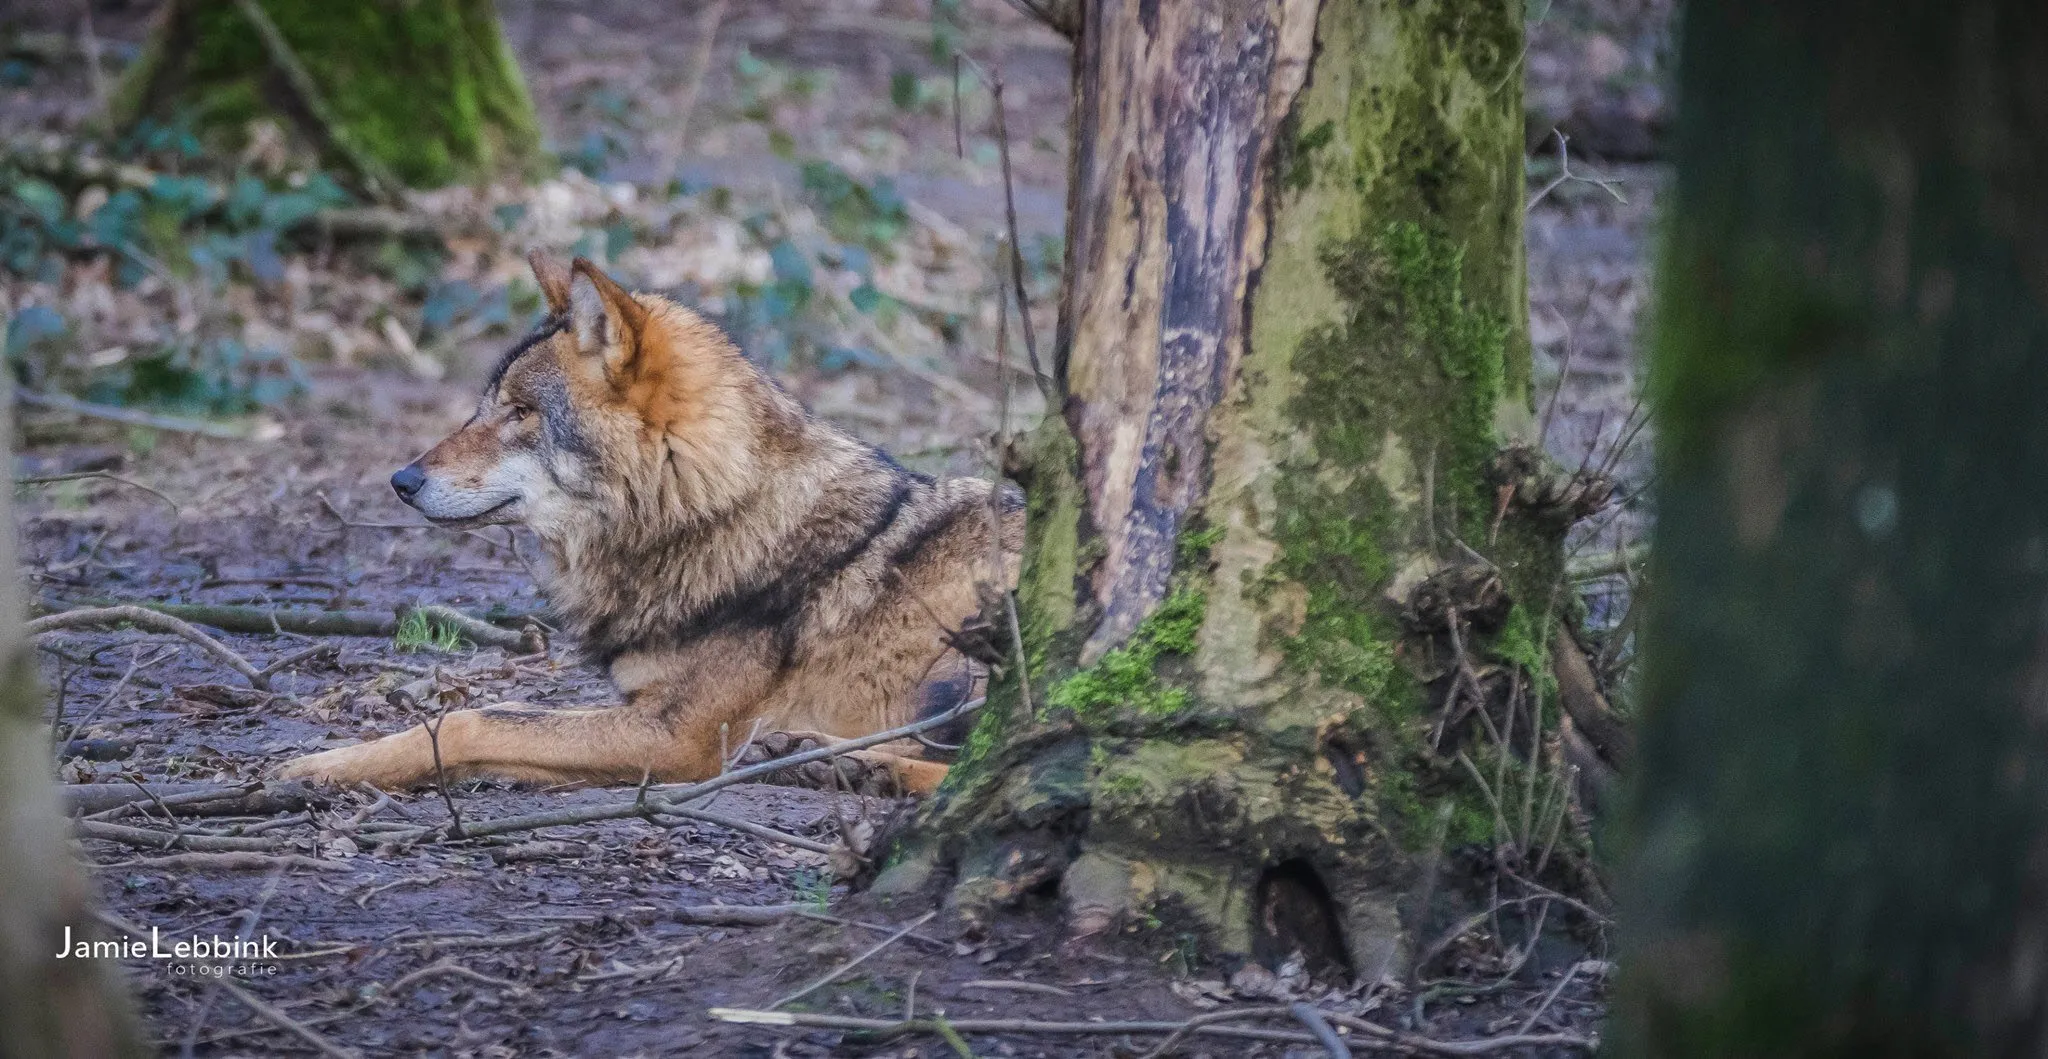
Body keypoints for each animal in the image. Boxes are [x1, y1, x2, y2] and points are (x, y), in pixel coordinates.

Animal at [277, 251, 1021, 794]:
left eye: (520, 412)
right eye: (485, 407)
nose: (401, 481)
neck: (712, 511)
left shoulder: (677, 736)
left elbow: (467, 720)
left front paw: (314, 767)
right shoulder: (641, 711)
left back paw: (851, 765)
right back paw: (815, 754)